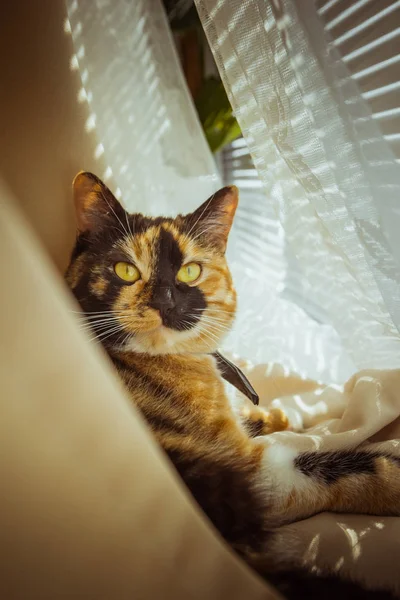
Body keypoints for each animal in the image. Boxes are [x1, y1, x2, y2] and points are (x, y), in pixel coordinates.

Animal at [65, 170, 400, 600]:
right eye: (125, 270)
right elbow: (356, 466)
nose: (165, 302)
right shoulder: (255, 469)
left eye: (190, 271)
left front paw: (289, 415)